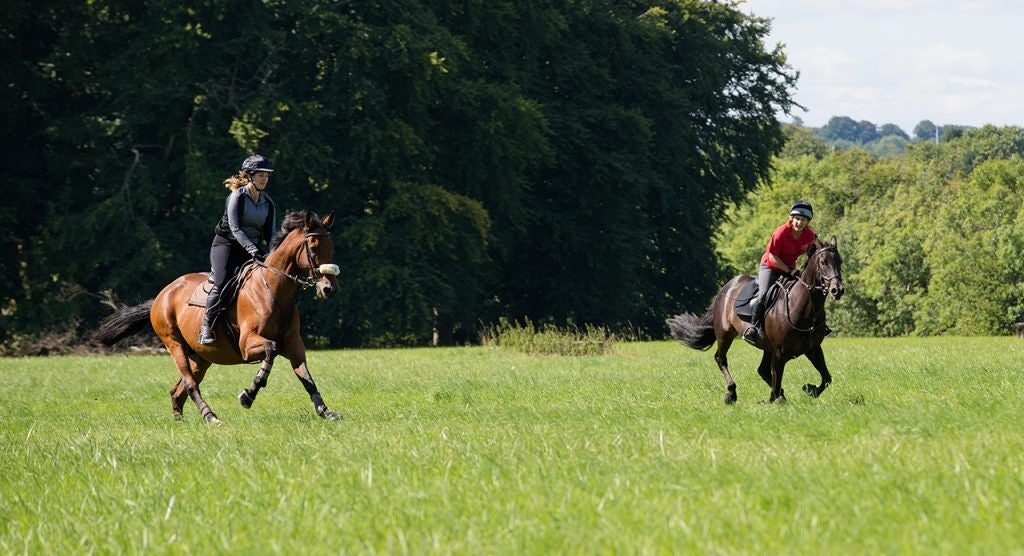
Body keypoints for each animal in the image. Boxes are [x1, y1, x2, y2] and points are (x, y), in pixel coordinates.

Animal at [94, 210, 339, 423]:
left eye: (331, 247)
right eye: (314, 248)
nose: (329, 289)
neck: (273, 290)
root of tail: (160, 296)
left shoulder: (294, 345)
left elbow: (306, 377)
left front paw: (325, 411)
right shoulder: (247, 344)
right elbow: (271, 349)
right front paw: (248, 394)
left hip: (200, 357)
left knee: (177, 391)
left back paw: (181, 421)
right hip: (174, 344)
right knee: (190, 384)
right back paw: (210, 416)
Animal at [667, 236, 843, 405]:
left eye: (839, 261)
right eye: (823, 262)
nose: (838, 290)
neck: (804, 308)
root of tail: (725, 288)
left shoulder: (813, 349)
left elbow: (827, 378)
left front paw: (809, 389)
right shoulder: (779, 353)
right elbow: (777, 381)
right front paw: (779, 399)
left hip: (765, 346)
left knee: (762, 370)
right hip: (725, 334)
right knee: (720, 359)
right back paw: (731, 393)